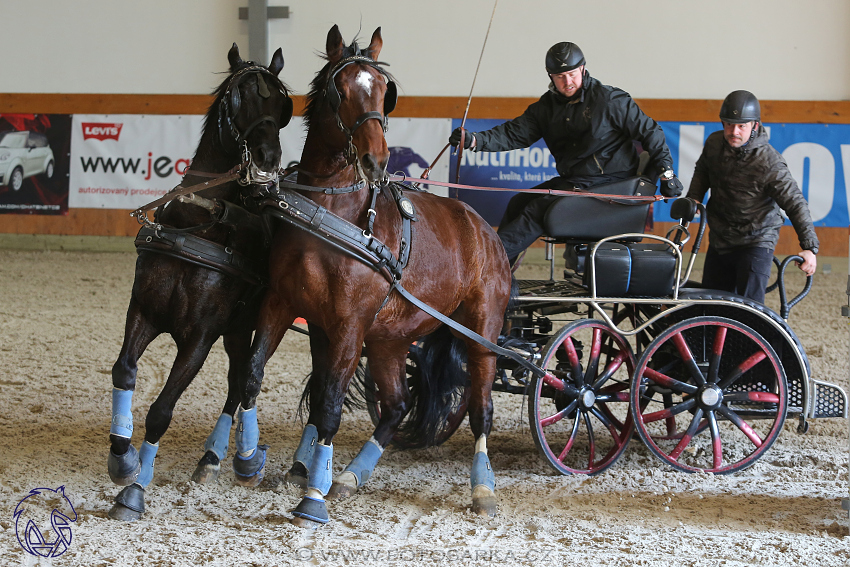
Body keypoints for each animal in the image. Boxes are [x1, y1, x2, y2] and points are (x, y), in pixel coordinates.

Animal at [105, 43, 294, 524]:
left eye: (282, 105)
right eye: (238, 96)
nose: (267, 158)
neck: (199, 219)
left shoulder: (200, 337)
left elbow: (161, 411)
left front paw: (135, 490)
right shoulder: (143, 311)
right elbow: (124, 371)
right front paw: (122, 458)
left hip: (253, 324)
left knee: (241, 381)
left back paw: (230, 457)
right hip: (237, 329)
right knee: (237, 378)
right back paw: (214, 457)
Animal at [230, 25, 510, 524]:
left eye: (384, 91)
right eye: (338, 91)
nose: (376, 159)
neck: (330, 215)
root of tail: (481, 227)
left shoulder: (348, 325)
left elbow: (329, 405)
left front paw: (312, 496)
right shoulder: (286, 305)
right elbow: (254, 373)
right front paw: (249, 461)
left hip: (480, 329)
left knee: (482, 407)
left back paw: (482, 488)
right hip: (389, 339)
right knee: (396, 404)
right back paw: (350, 475)